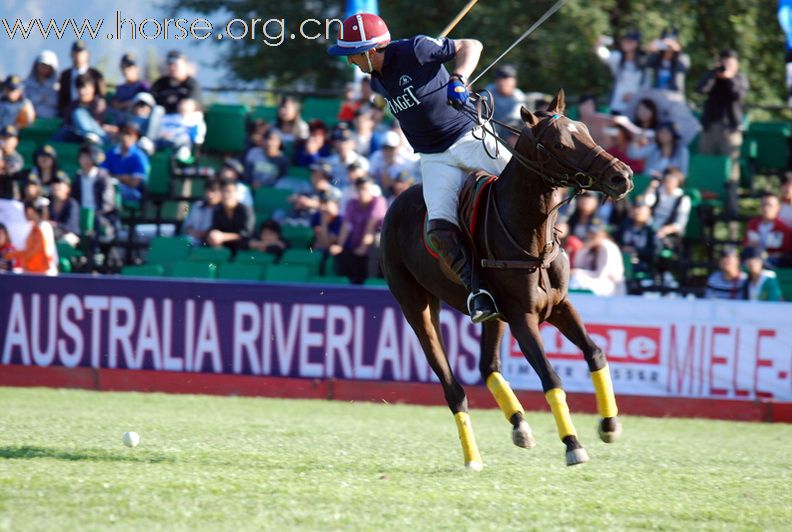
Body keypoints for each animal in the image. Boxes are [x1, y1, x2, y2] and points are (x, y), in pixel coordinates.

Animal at [380, 89, 636, 468]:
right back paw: (472, 457)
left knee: (488, 366)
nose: (622, 176)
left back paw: (520, 426)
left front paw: (609, 424)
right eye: (559, 144)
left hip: (492, 315)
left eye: (587, 130)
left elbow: (596, 352)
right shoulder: (522, 316)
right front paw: (573, 444)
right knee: (452, 386)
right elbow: (550, 376)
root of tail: (395, 203)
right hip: (416, 305)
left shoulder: (560, 305)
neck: (531, 233)